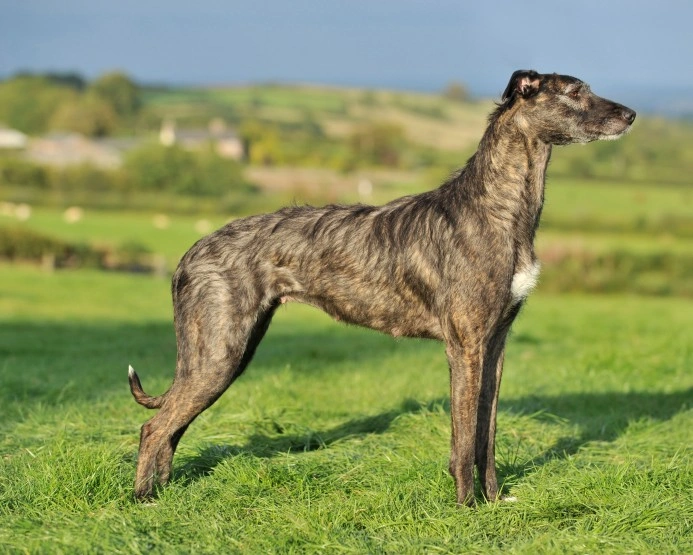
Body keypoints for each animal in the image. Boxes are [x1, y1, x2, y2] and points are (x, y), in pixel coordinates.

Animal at [127, 71, 636, 506]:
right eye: (574, 91)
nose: (631, 115)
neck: (497, 207)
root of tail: (189, 254)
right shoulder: (465, 346)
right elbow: (463, 440)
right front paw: (466, 508)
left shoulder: (495, 344)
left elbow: (486, 437)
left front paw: (493, 501)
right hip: (219, 353)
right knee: (154, 427)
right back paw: (143, 500)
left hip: (225, 351)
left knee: (171, 428)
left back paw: (165, 495)